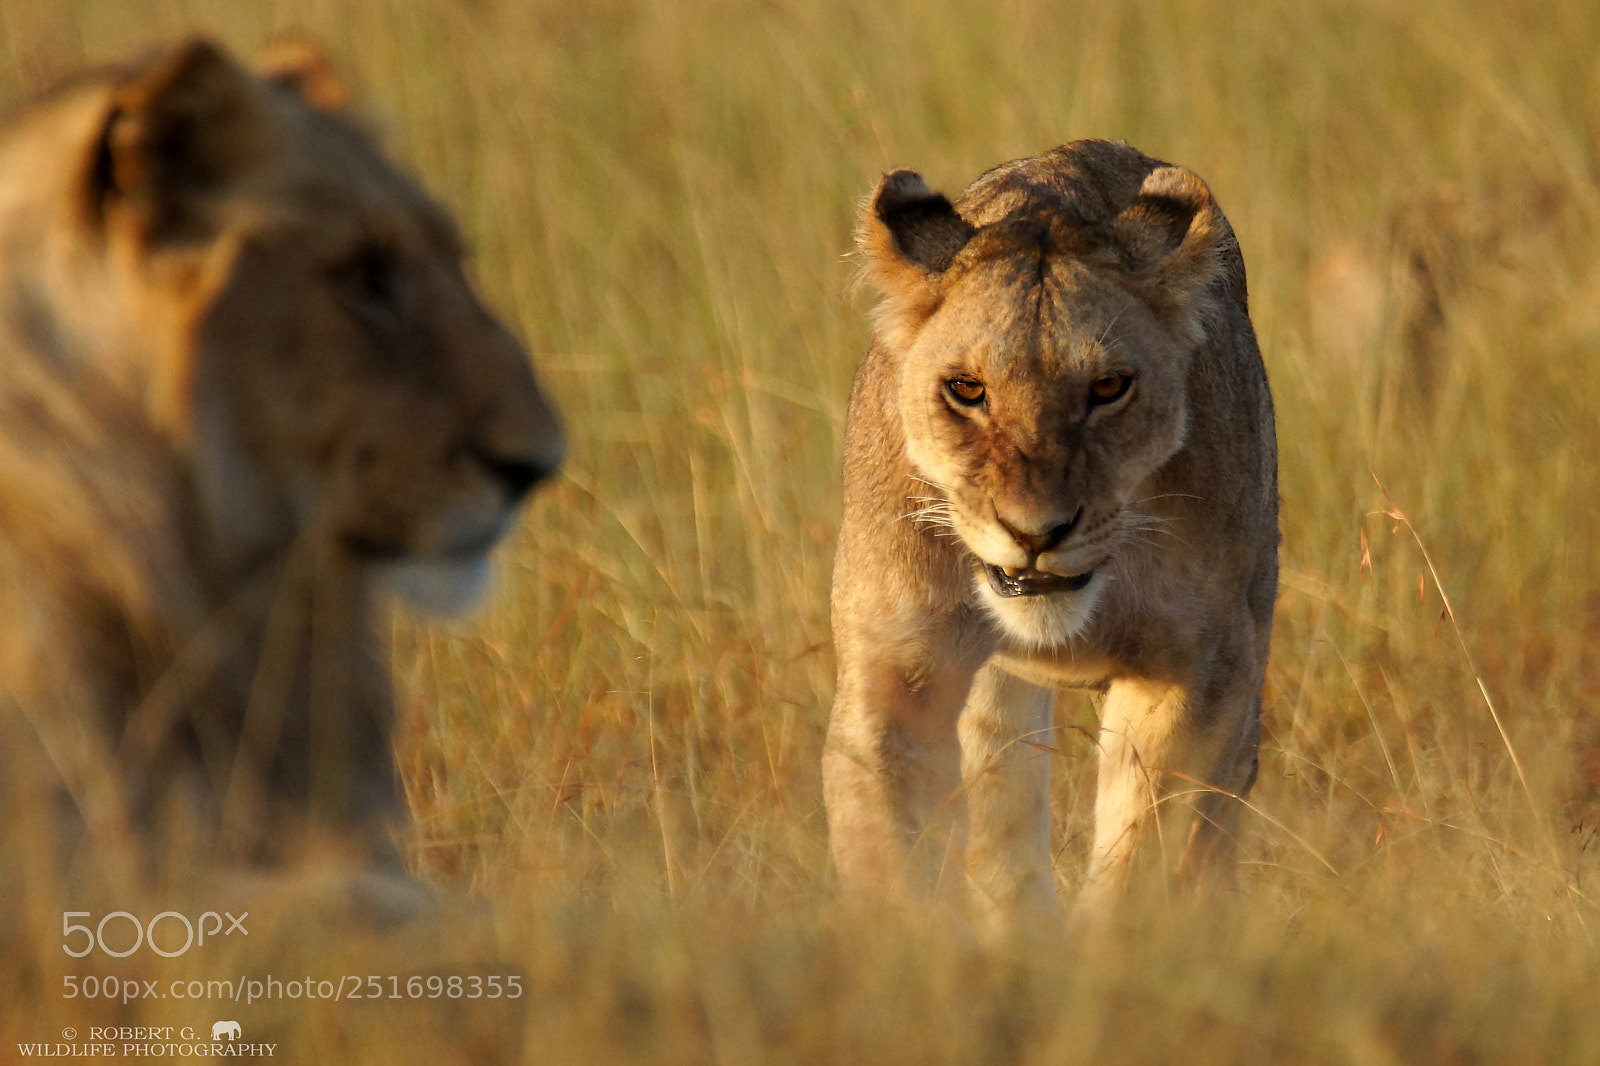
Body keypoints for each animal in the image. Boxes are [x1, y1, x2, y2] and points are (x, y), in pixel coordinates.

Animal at [823, 141, 1277, 934]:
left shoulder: (1202, 666)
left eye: (1109, 388)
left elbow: (1144, 853)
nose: (1035, 531)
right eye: (967, 390)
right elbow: (891, 850)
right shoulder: (895, 666)